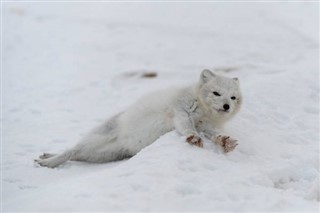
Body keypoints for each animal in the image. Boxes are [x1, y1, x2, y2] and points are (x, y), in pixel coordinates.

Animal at [35, 70, 242, 168]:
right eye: (216, 93)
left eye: (233, 97)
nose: (226, 106)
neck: (205, 112)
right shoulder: (181, 111)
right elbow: (187, 126)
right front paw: (194, 138)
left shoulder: (207, 125)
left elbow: (215, 134)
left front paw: (226, 142)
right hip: (98, 137)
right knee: (72, 150)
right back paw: (48, 162)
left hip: (104, 155)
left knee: (78, 155)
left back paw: (47, 156)